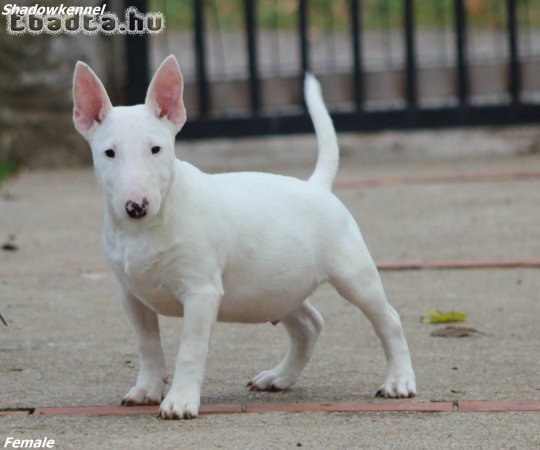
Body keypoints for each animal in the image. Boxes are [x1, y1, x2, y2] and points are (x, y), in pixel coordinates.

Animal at [73, 55, 418, 418]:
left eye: (156, 149)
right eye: (109, 153)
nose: (136, 206)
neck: (145, 227)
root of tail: (317, 186)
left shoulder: (201, 292)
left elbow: (190, 350)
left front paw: (180, 401)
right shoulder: (131, 295)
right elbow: (147, 345)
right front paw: (145, 390)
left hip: (354, 275)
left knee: (388, 320)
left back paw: (399, 381)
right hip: (277, 285)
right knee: (309, 324)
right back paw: (278, 378)